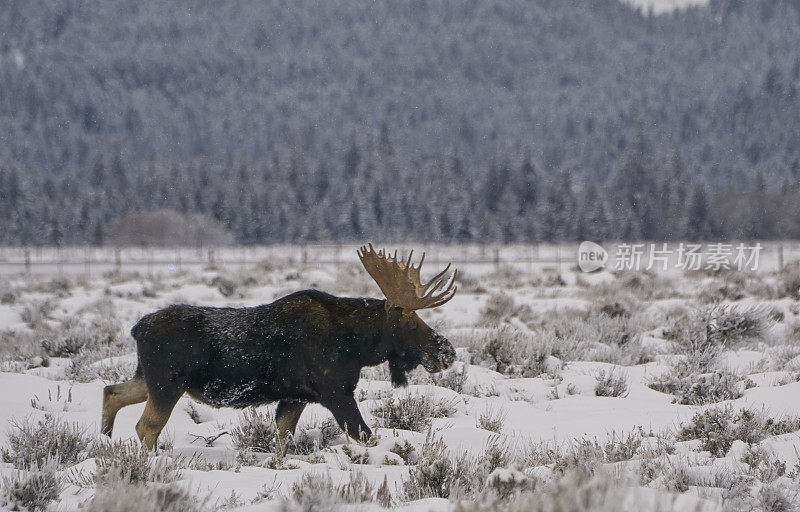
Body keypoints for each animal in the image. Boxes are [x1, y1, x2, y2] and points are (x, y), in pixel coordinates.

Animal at [101, 246, 456, 450]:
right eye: (411, 322)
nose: (447, 352)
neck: (357, 346)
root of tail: (137, 328)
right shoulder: (335, 390)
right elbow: (365, 435)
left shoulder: (295, 396)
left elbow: (281, 442)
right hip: (167, 382)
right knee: (146, 426)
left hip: (148, 377)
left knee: (112, 391)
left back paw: (104, 443)